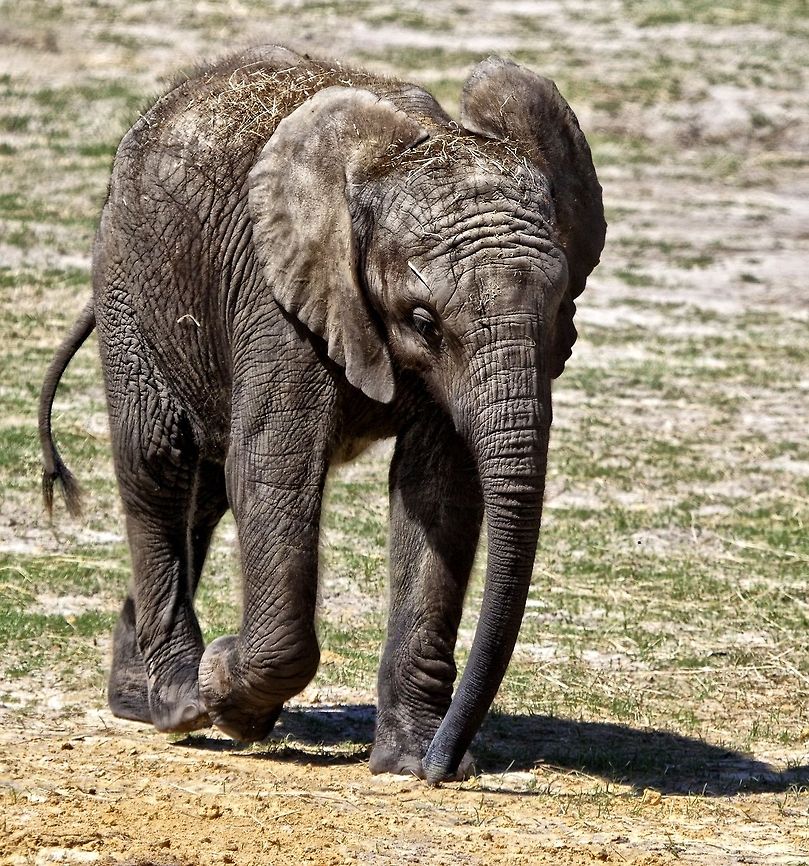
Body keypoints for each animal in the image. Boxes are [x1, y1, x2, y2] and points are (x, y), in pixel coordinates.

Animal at [38, 45, 605, 784]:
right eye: (422, 321)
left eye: (559, 311)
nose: (446, 766)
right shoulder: (276, 298)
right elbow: (274, 468)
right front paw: (228, 696)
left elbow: (439, 492)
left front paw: (404, 762)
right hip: (129, 284)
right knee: (159, 459)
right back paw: (179, 702)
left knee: (206, 488)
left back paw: (138, 698)